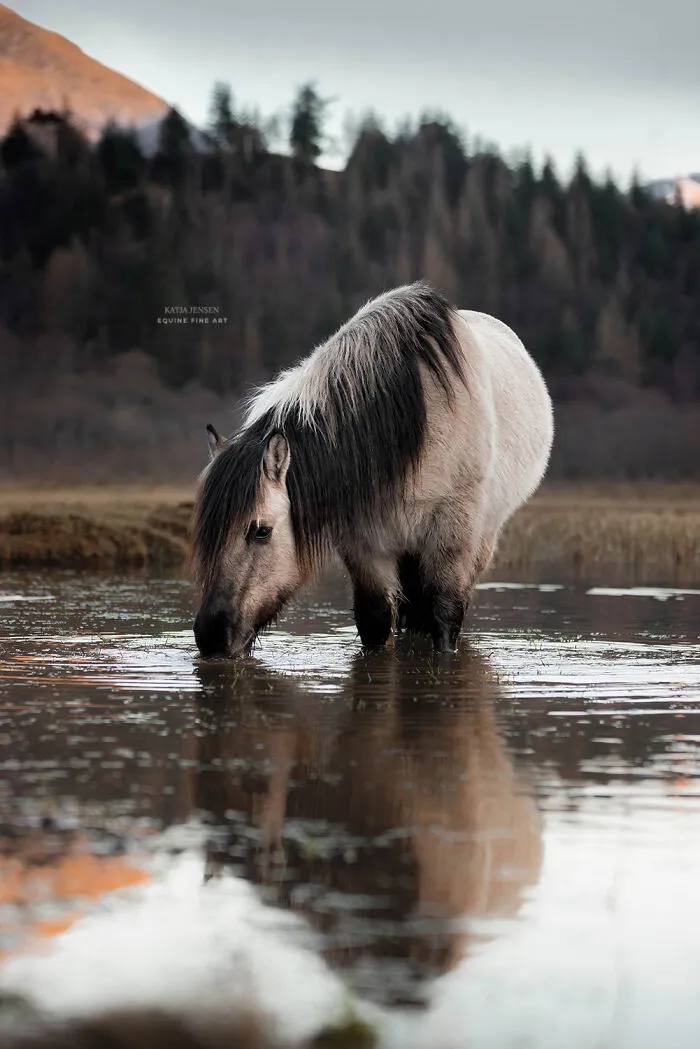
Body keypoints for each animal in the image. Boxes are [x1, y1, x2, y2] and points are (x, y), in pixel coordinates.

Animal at [191, 281, 553, 658]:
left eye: (261, 531)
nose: (211, 635)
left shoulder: (453, 539)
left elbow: (444, 620)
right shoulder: (364, 546)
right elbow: (376, 622)